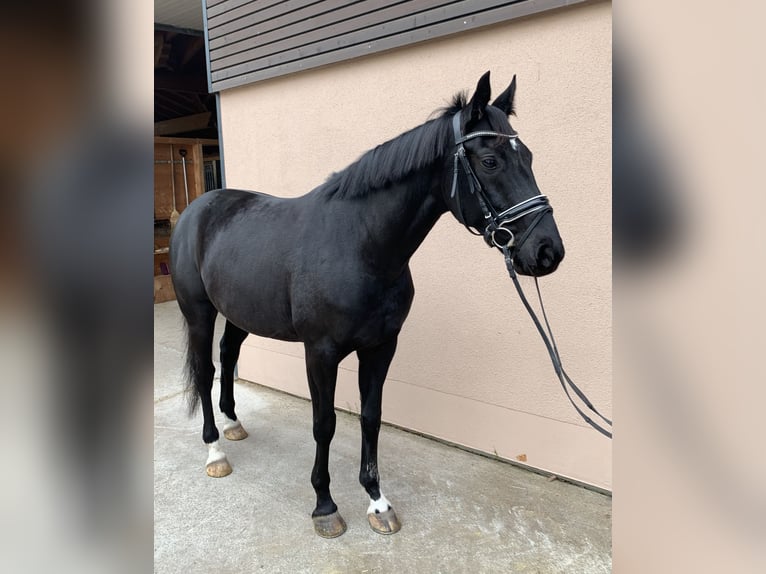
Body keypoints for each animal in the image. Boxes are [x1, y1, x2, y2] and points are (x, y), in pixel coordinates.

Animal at [172, 72, 564, 540]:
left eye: (529, 157)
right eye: (490, 161)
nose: (548, 251)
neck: (360, 245)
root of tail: (196, 209)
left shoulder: (381, 347)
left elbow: (371, 417)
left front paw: (377, 501)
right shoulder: (320, 353)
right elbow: (324, 423)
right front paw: (325, 506)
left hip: (239, 313)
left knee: (229, 355)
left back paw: (232, 425)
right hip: (199, 313)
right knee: (206, 369)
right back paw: (215, 450)